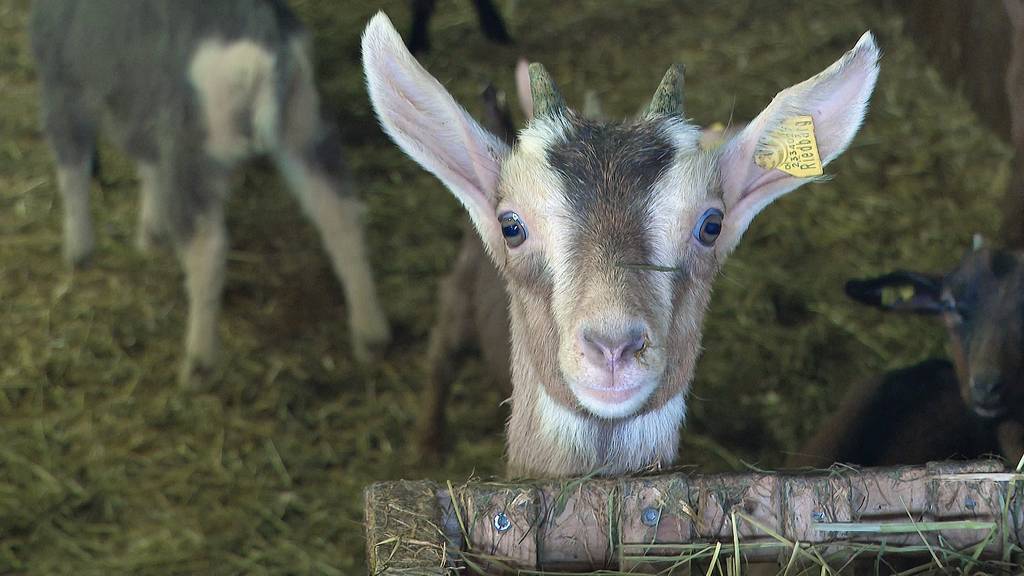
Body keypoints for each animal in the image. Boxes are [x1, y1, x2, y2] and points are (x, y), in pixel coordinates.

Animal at [364, 14, 884, 475]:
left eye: (711, 225)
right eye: (511, 225)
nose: (613, 348)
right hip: (457, 294)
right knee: (441, 352)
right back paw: (427, 444)